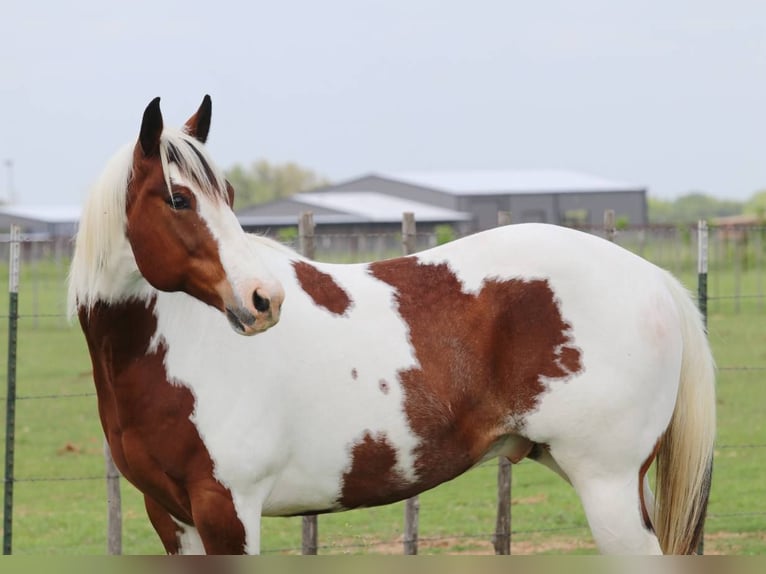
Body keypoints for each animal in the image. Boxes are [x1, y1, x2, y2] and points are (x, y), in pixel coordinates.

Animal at [69, 96, 716, 555]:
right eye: (178, 199)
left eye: (226, 194)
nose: (263, 300)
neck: (175, 349)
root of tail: (653, 278)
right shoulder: (172, 518)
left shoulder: (229, 512)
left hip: (608, 486)